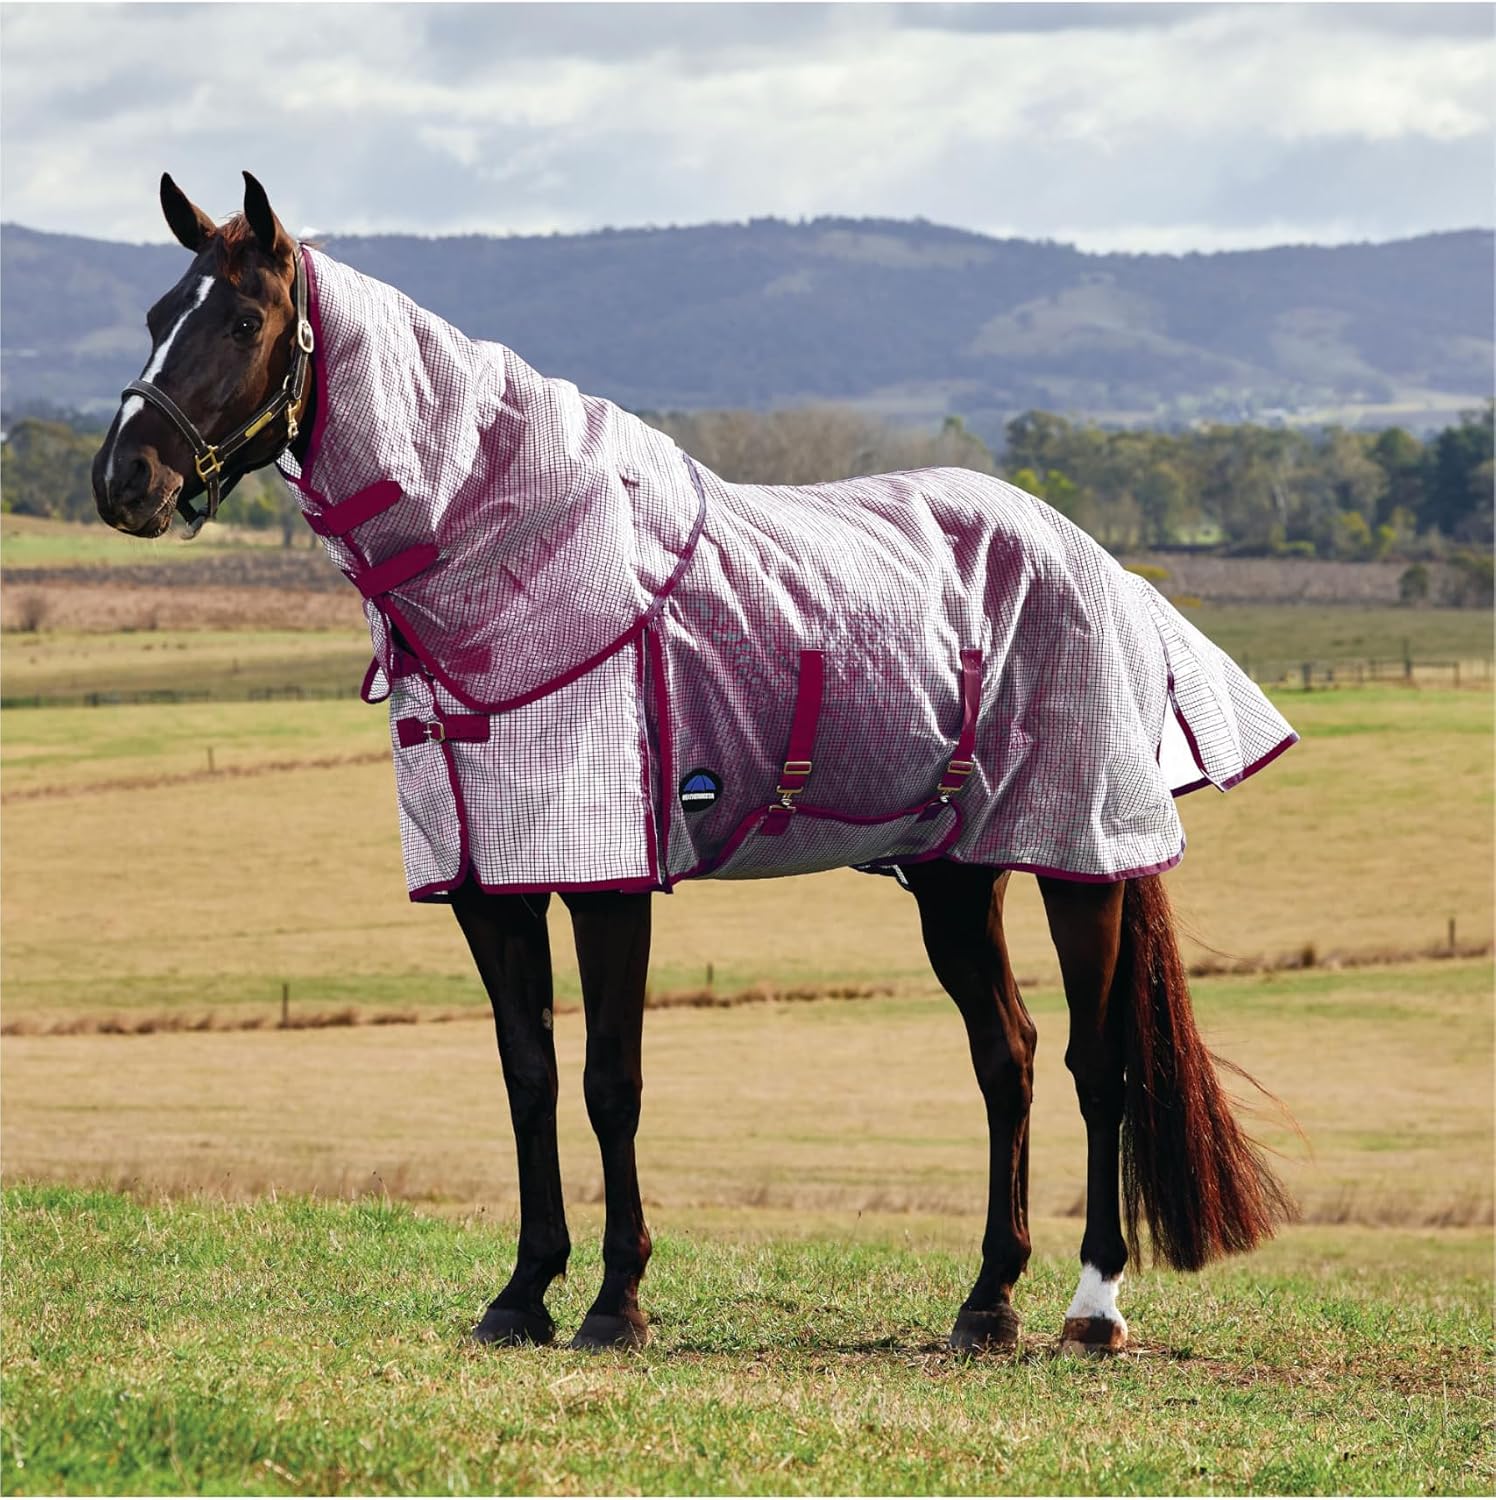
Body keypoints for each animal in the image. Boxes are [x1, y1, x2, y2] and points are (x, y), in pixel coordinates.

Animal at [93, 172, 1295, 1354]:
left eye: (244, 320)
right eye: (155, 315)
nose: (123, 481)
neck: (528, 564)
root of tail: (1100, 565)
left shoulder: (609, 879)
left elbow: (609, 1082)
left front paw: (614, 1303)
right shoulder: (489, 886)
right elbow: (528, 1077)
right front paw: (522, 1293)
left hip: (1079, 859)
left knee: (1098, 1065)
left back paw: (1092, 1307)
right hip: (955, 875)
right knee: (1008, 1055)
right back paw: (987, 1300)